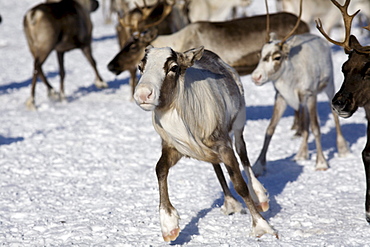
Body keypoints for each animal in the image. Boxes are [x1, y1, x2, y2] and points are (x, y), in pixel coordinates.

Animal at [134, 45, 276, 241]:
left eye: (174, 67)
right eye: (140, 66)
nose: (143, 94)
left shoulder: (224, 145)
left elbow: (240, 184)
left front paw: (262, 226)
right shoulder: (174, 147)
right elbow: (160, 169)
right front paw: (169, 226)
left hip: (239, 124)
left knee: (243, 155)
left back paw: (260, 196)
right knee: (215, 164)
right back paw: (230, 203)